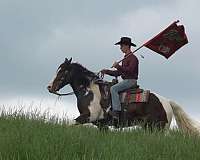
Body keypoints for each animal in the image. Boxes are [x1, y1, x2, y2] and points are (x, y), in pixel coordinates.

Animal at [47, 57, 200, 135]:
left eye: (63, 71)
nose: (49, 87)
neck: (89, 91)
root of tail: (167, 102)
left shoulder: (88, 117)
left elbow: (69, 124)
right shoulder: (101, 124)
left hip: (160, 128)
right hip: (149, 127)